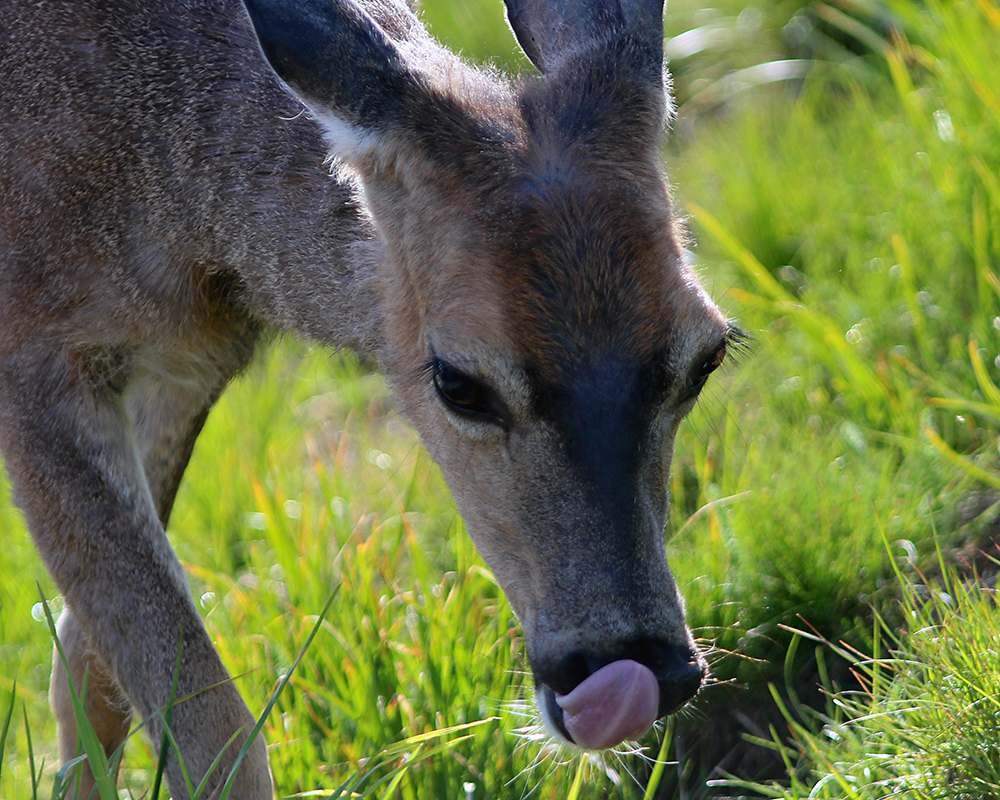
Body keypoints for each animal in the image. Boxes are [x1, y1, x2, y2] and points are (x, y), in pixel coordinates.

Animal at [0, 0, 736, 792]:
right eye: (458, 383)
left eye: (708, 355)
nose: (640, 666)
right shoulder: (32, 355)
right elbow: (213, 728)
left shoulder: (184, 360)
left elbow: (88, 674)